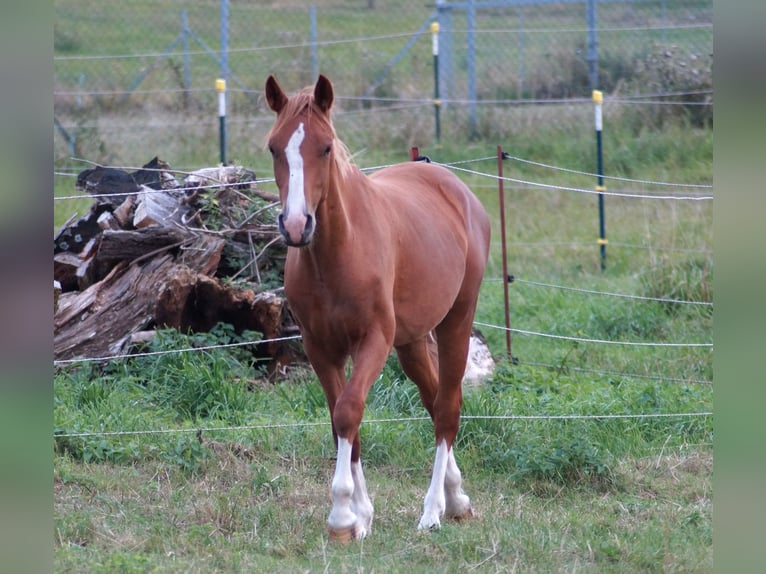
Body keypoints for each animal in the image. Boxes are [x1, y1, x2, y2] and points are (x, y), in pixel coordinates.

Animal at [266, 74, 492, 544]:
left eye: (326, 147)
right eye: (274, 147)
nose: (296, 226)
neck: (338, 252)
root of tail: (452, 186)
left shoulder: (373, 341)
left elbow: (349, 410)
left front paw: (341, 517)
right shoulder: (320, 348)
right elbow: (340, 421)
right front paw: (361, 516)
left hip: (456, 322)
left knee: (447, 409)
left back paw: (433, 511)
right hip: (411, 342)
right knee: (433, 400)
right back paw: (457, 499)